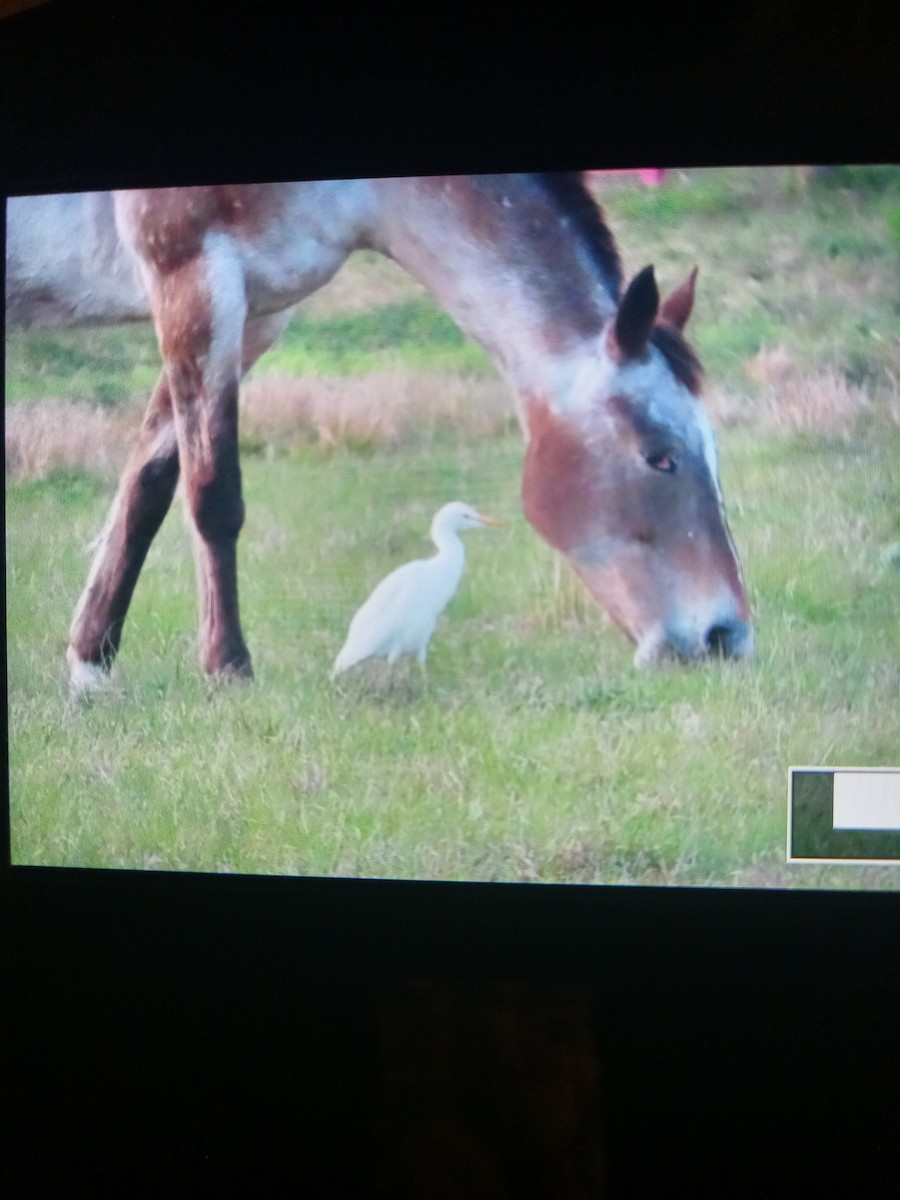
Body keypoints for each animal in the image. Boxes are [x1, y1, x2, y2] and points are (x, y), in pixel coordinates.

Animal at [5, 172, 753, 691]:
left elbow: (151, 484)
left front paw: (92, 661)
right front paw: (228, 667)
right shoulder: (193, 283)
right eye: (660, 458)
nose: (726, 635)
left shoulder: (254, 314)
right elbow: (214, 494)